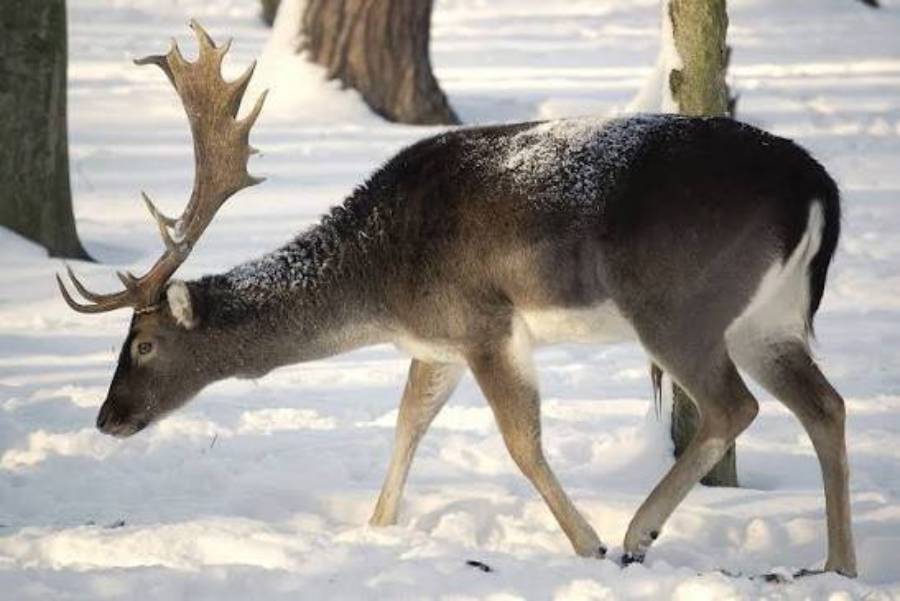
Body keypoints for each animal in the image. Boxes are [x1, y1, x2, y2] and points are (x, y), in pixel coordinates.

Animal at [58, 22, 856, 578]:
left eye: (143, 343)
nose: (106, 418)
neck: (381, 281)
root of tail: (818, 187)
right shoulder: (435, 340)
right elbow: (407, 425)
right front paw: (377, 529)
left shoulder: (482, 321)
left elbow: (521, 442)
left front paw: (589, 545)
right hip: (768, 317)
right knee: (826, 405)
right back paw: (837, 564)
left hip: (677, 303)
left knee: (735, 406)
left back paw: (637, 531)